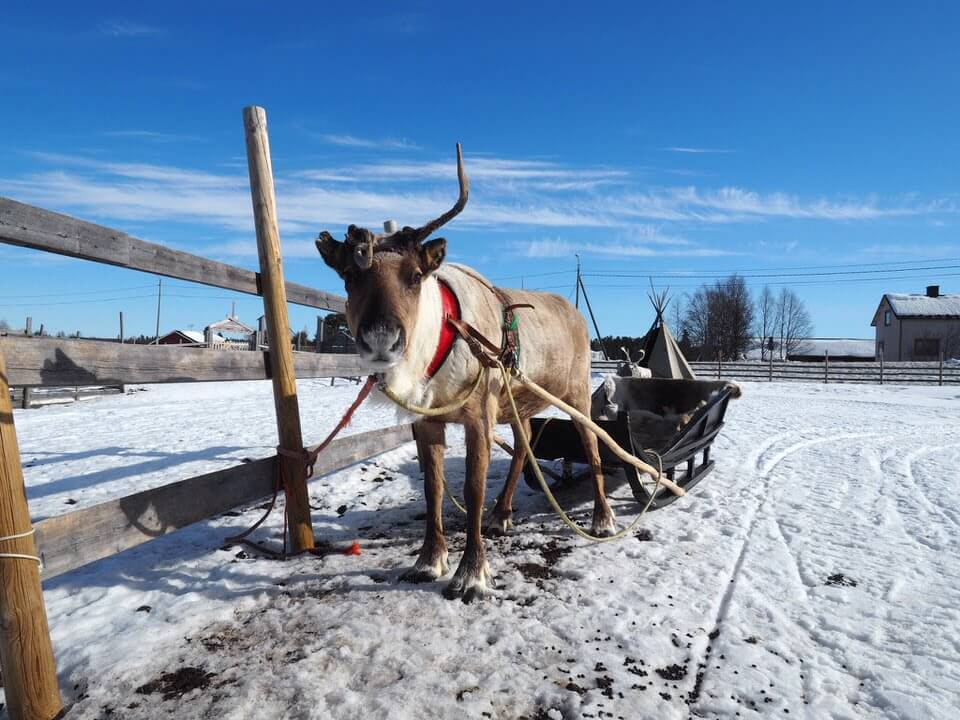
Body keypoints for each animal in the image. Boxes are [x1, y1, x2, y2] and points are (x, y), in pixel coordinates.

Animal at [316, 145, 617, 602]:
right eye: (349, 275)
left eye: (415, 275)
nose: (381, 339)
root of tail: (575, 313)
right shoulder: (428, 421)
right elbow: (433, 488)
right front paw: (428, 561)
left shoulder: (478, 415)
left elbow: (472, 489)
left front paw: (471, 573)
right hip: (517, 401)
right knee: (526, 441)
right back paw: (502, 513)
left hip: (577, 392)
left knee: (593, 444)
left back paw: (602, 518)